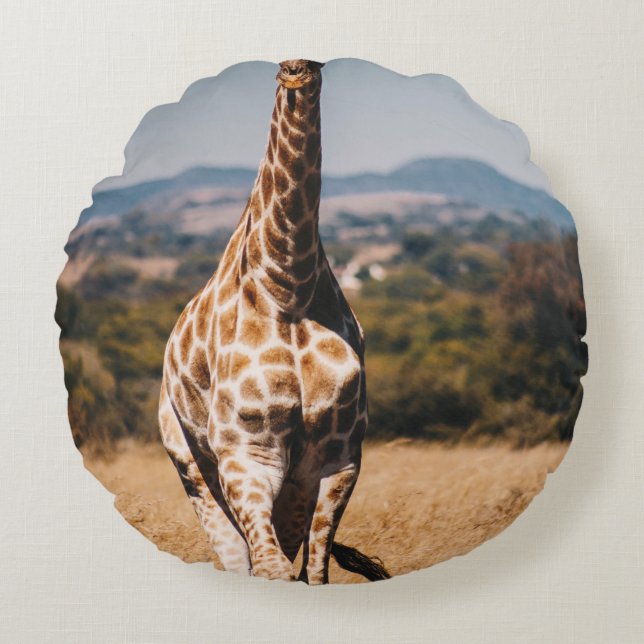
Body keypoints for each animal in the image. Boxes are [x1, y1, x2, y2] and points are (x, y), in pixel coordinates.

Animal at [158, 59, 389, 584]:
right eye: (281, 64)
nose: (297, 71)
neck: (288, 287)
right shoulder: (247, 452)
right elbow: (270, 568)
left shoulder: (338, 459)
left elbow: (314, 574)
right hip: (189, 463)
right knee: (236, 556)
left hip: (290, 486)